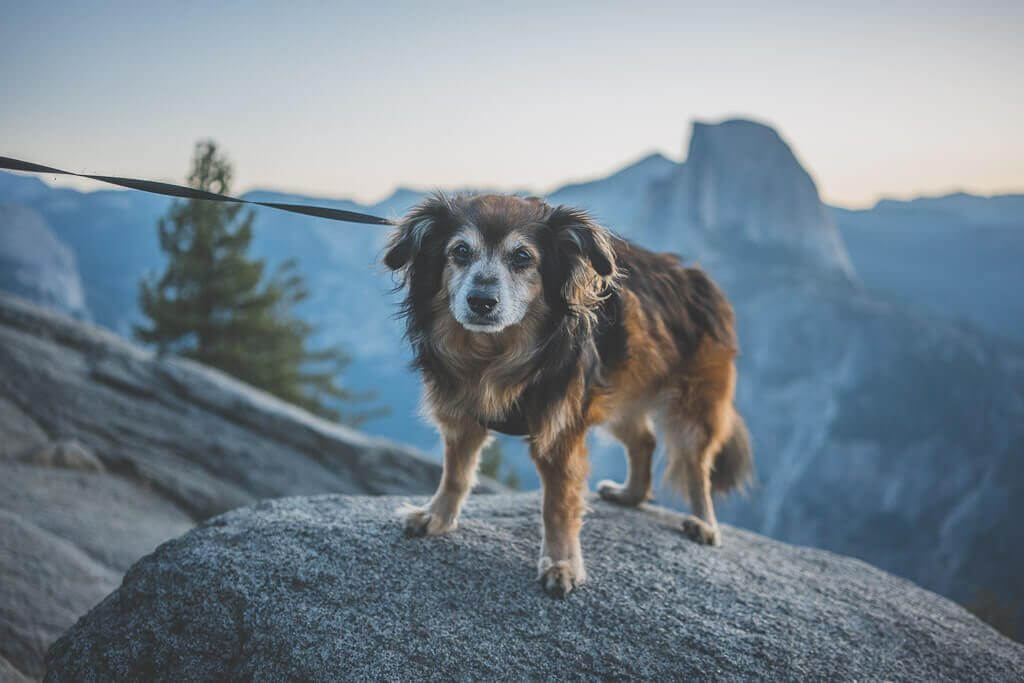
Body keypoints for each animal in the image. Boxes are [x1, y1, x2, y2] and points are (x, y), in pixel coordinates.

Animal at [385, 193, 753, 598]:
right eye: (460, 252)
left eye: (523, 257)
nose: (481, 301)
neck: (495, 352)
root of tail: (699, 280)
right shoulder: (463, 414)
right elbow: (456, 473)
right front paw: (436, 516)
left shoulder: (561, 431)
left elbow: (558, 504)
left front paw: (561, 564)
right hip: (616, 390)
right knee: (644, 439)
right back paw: (630, 494)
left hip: (691, 408)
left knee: (697, 467)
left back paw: (704, 524)